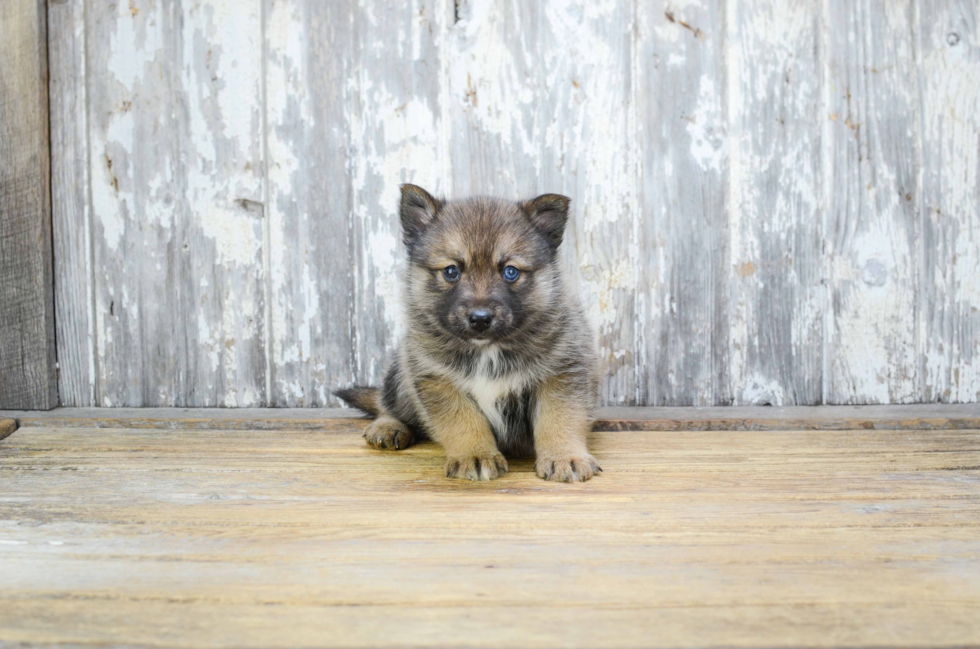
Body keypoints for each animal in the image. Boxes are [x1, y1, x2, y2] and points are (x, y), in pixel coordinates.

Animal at [334, 182, 600, 480]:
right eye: (451, 271)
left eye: (510, 272)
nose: (480, 319)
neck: (488, 350)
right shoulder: (437, 380)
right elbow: (463, 422)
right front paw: (475, 454)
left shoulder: (563, 373)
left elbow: (560, 419)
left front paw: (565, 457)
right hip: (401, 373)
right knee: (388, 403)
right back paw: (389, 426)